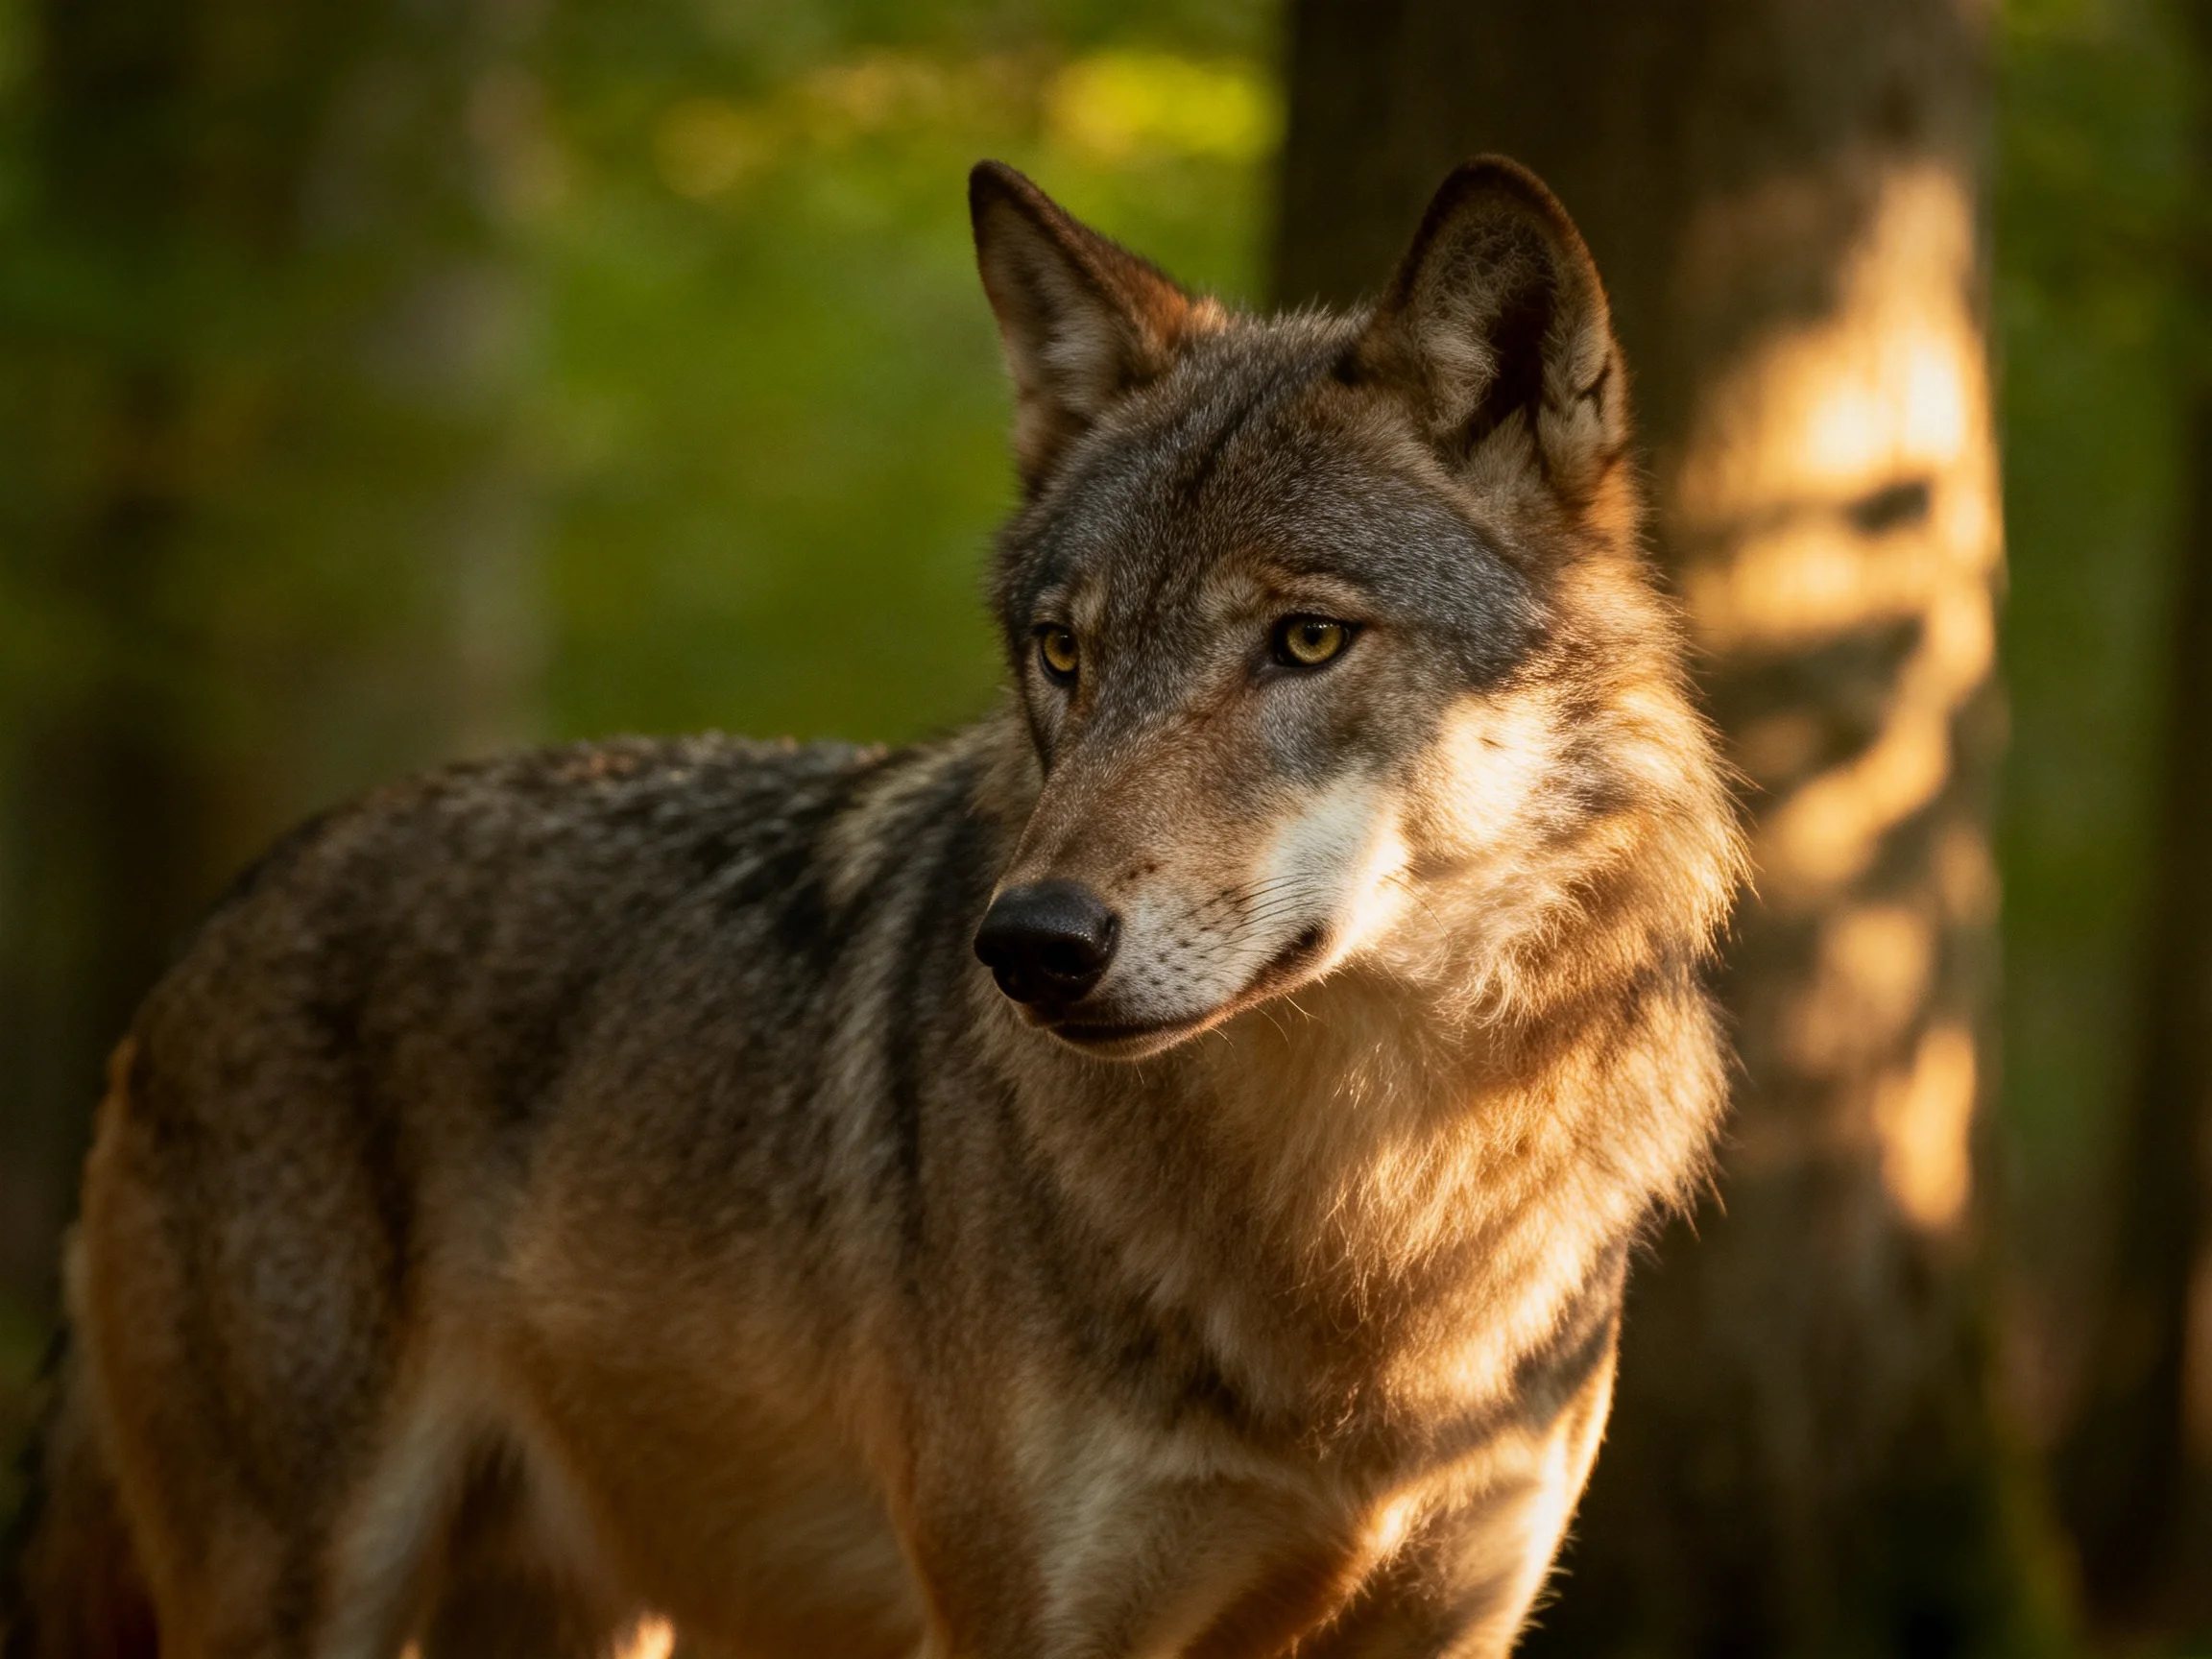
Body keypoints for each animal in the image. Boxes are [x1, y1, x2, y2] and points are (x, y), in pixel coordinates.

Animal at [6, 156, 1739, 1659]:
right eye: (1062, 651)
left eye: (1306, 640)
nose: (1029, 945)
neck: (1366, 1221)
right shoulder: (1020, 1621)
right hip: (310, 1590)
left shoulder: (1449, 1621)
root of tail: (218, 920)